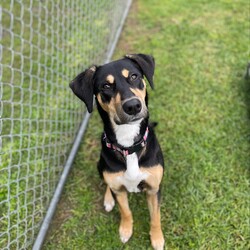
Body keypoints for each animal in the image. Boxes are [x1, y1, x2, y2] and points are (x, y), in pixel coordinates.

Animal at [69, 53, 165, 249]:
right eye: (106, 86)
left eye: (134, 76)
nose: (133, 106)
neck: (128, 145)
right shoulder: (119, 191)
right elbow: (125, 211)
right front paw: (126, 230)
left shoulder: (154, 188)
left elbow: (155, 217)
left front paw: (157, 238)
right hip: (100, 165)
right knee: (108, 183)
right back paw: (108, 199)